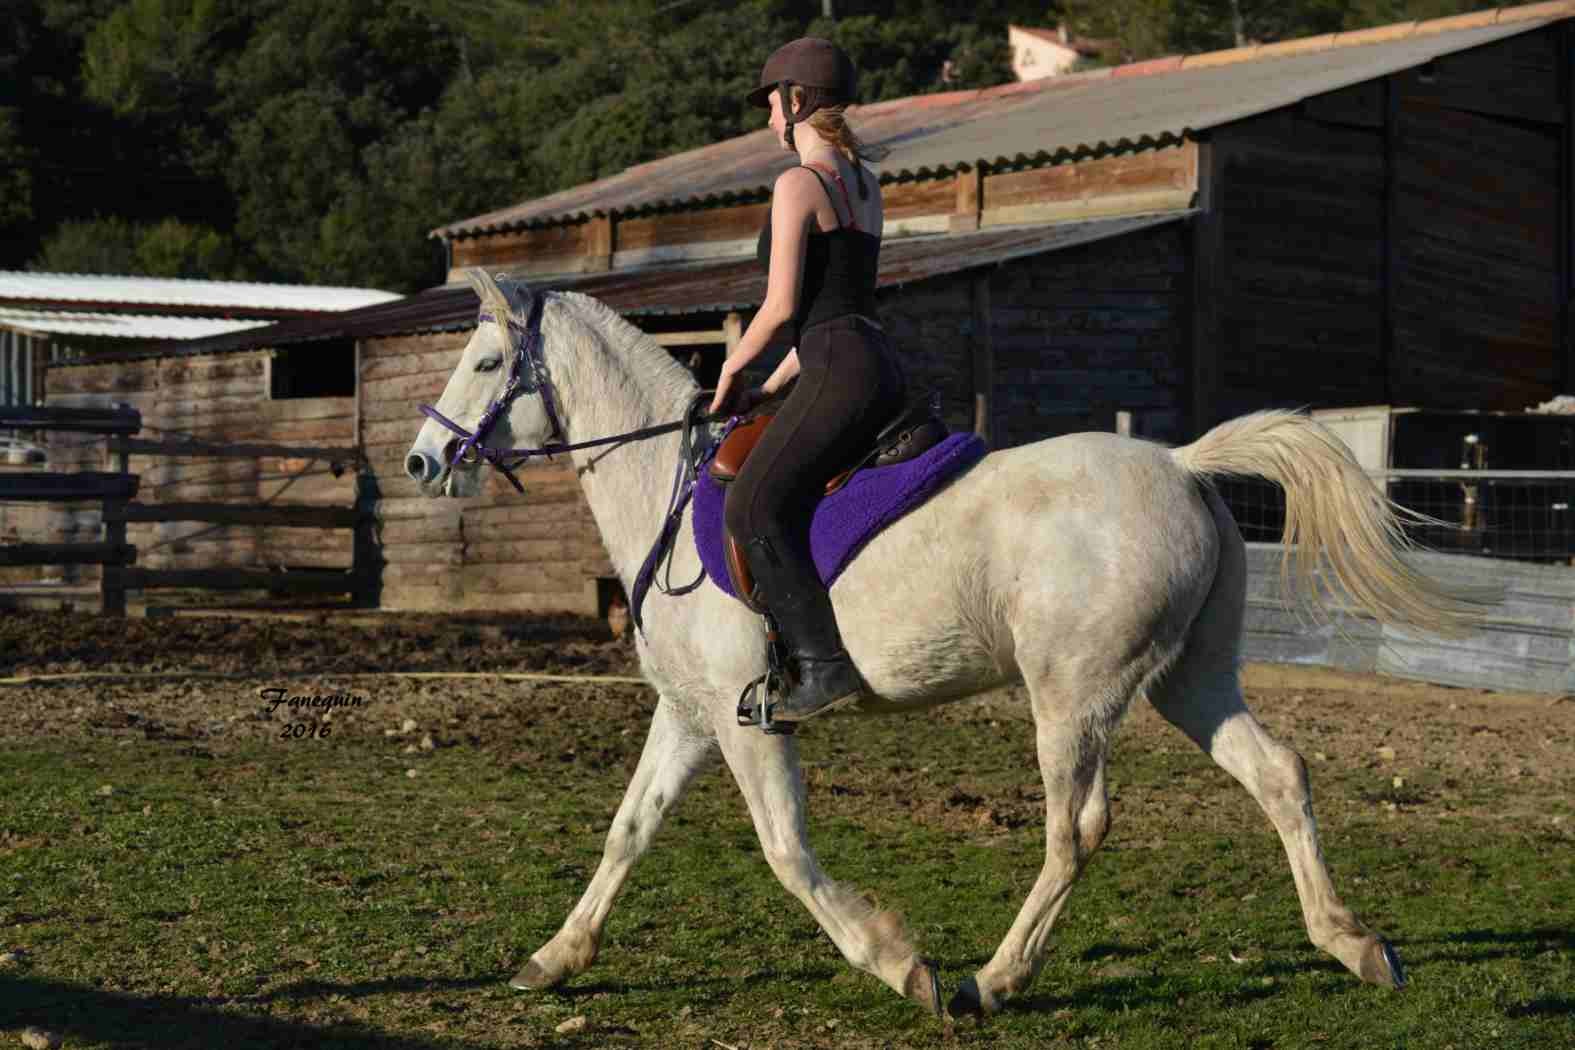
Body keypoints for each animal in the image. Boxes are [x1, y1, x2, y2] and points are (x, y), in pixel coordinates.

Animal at [403, 269, 1474, 1020]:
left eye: (487, 364)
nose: (422, 461)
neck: (663, 483)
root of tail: (1179, 463)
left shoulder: (751, 722)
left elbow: (785, 852)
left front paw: (896, 963)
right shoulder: (689, 713)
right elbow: (628, 831)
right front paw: (554, 958)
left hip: (1073, 695)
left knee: (1076, 830)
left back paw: (990, 982)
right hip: (1188, 680)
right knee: (1279, 775)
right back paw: (1351, 943)